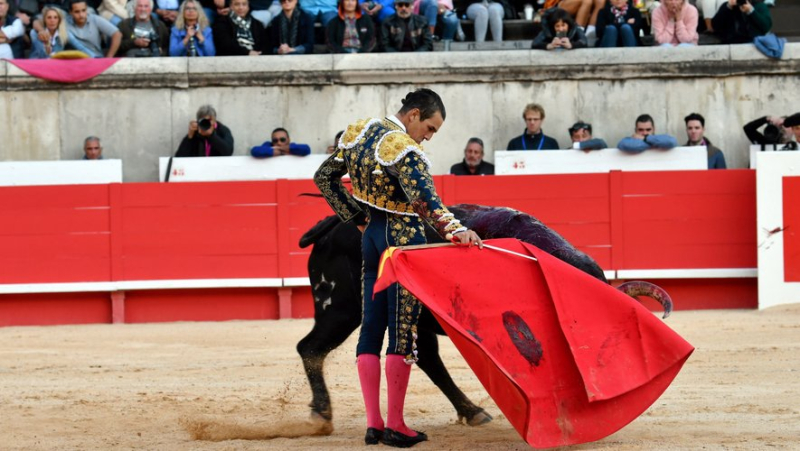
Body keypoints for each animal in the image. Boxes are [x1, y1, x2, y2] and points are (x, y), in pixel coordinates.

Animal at [296, 205, 672, 430]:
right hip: (341, 309)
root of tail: (330, 228)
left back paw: (472, 411)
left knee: (427, 358)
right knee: (310, 348)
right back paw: (321, 413)